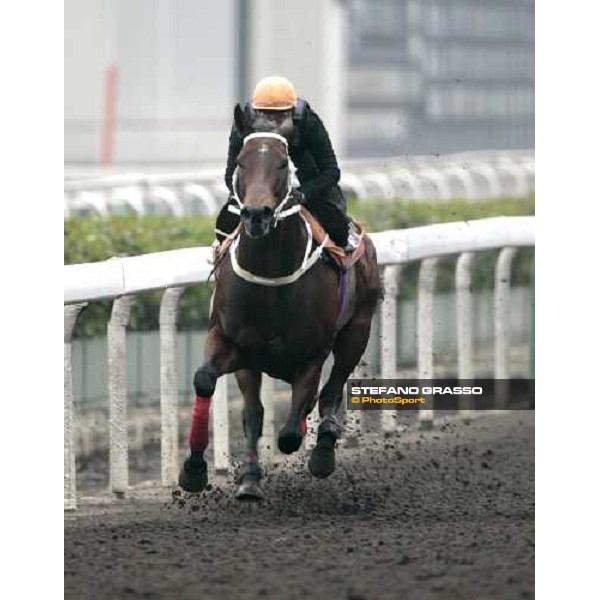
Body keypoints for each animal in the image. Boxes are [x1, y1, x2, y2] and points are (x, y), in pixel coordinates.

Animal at [178, 108, 380, 502]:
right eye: (241, 161)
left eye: (284, 163)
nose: (257, 214)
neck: (270, 277)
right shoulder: (233, 344)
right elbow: (208, 383)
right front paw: (196, 470)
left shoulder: (311, 355)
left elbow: (290, 432)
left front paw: (310, 441)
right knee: (257, 412)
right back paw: (250, 477)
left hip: (357, 328)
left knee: (330, 390)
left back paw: (324, 447)